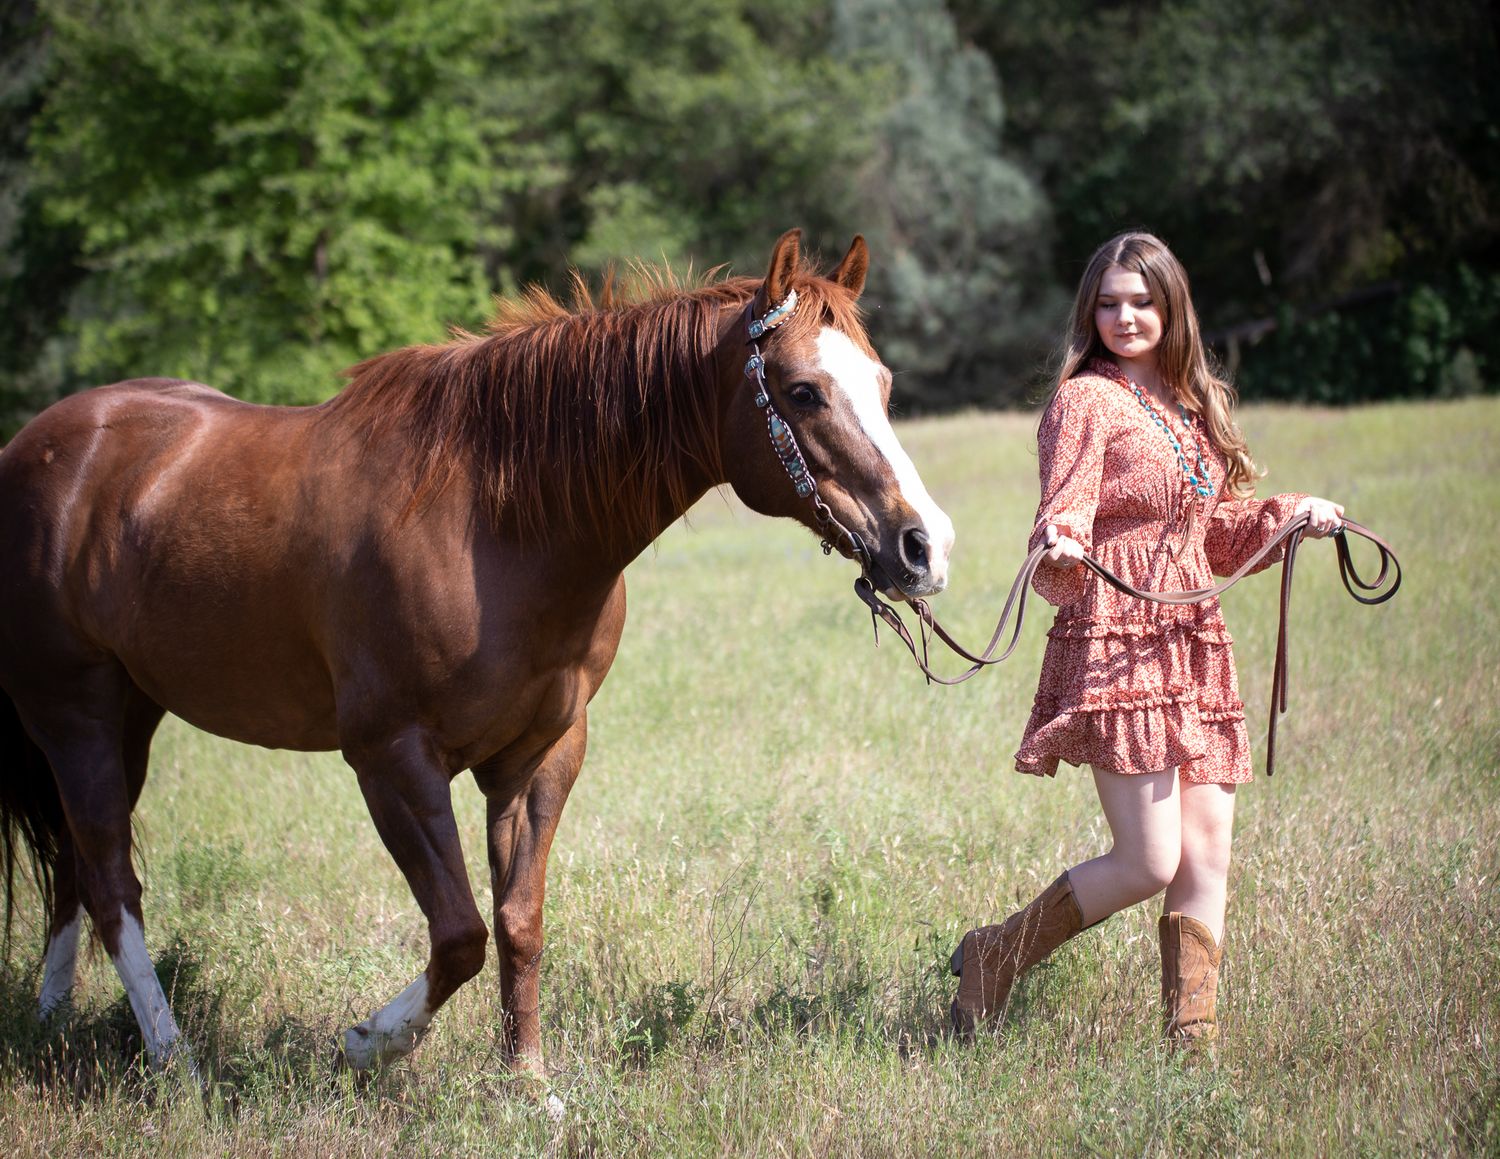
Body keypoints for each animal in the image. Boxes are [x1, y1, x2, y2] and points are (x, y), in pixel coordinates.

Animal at [0, 230, 954, 1077]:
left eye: (882, 383)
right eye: (803, 390)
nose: (924, 546)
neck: (496, 523)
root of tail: (35, 448)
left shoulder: (537, 756)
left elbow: (518, 924)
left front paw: (527, 1083)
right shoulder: (391, 760)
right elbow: (460, 934)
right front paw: (370, 1043)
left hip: (131, 712)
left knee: (76, 870)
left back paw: (52, 1019)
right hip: (75, 715)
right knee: (111, 881)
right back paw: (175, 1063)